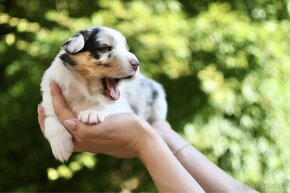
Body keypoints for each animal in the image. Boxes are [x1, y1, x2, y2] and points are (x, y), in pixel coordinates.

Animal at [40, 25, 168, 161]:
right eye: (105, 48)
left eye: (126, 49)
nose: (136, 63)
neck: (83, 92)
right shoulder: (48, 103)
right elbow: (51, 120)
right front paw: (61, 147)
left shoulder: (123, 107)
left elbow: (106, 107)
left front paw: (91, 113)